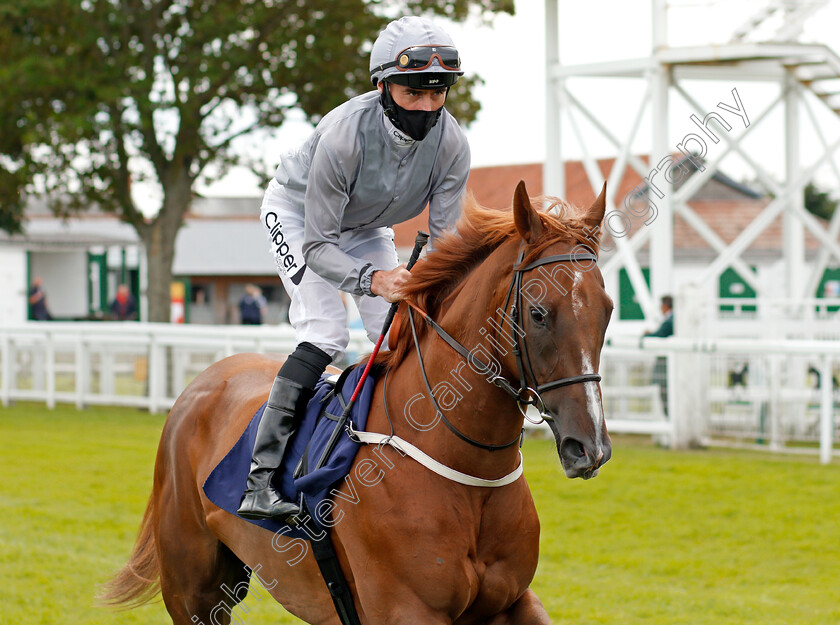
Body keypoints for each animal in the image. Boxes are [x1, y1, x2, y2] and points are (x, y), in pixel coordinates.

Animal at [105, 182, 612, 624]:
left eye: (607, 310)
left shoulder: (512, 601)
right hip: (193, 588)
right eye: (539, 313)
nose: (590, 448)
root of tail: (204, 381)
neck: (469, 472)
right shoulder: (408, 611)